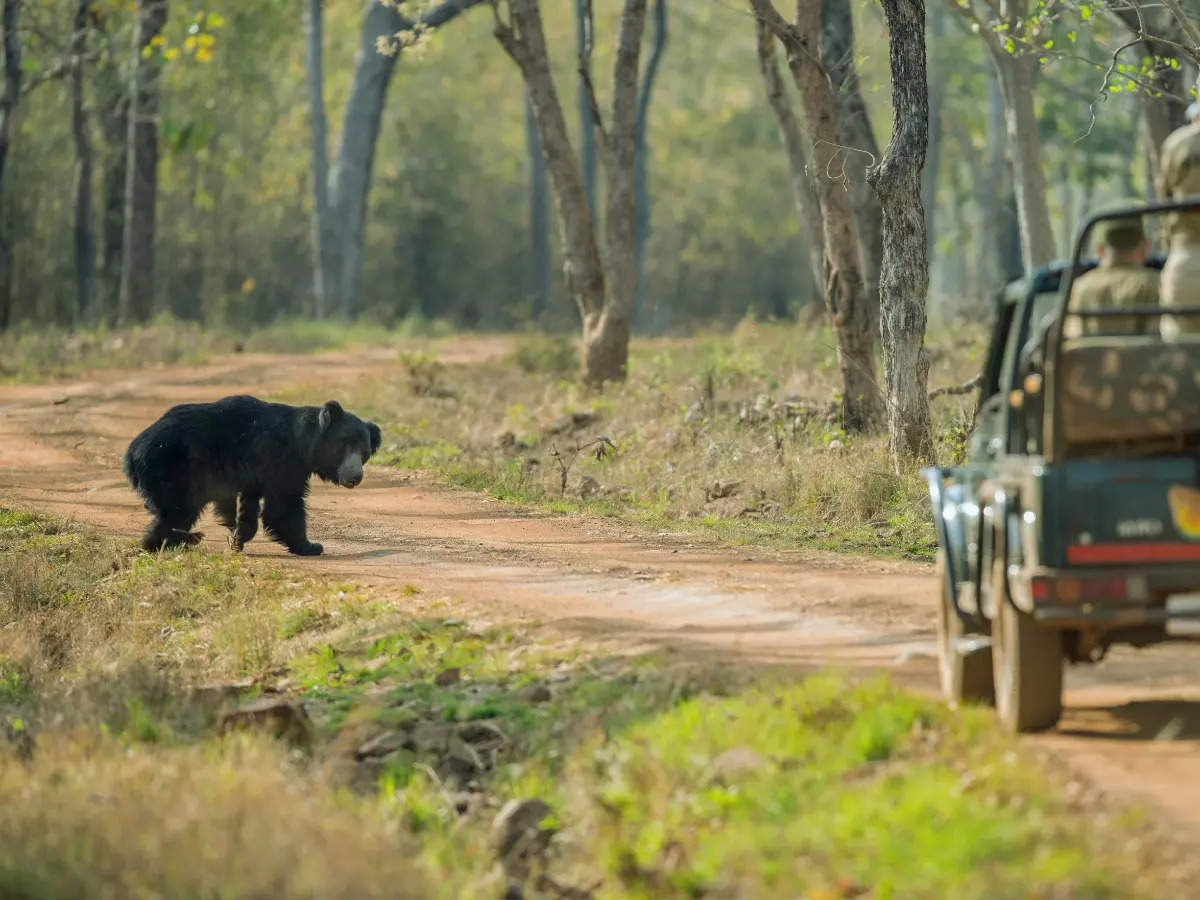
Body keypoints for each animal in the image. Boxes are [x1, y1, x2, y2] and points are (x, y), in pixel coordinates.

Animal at [121, 396, 379, 556]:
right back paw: (173, 542)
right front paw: (311, 546)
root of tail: (132, 452)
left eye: (364, 453)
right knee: (177, 511)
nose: (355, 477)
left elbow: (249, 506)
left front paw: (237, 537)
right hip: (174, 468)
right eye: (344, 446)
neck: (305, 442)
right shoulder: (282, 460)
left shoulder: (255, 474)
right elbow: (284, 505)